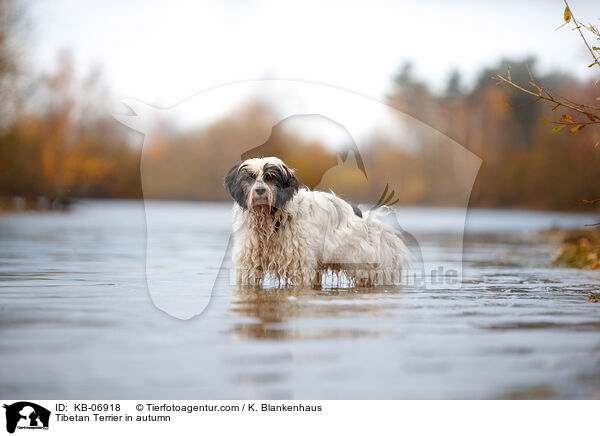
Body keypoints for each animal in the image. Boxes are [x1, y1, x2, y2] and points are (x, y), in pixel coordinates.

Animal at [223, 158, 410, 288]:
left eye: (271, 178)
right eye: (250, 177)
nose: (260, 190)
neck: (271, 220)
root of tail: (361, 215)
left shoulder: (299, 264)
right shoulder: (248, 265)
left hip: (359, 262)